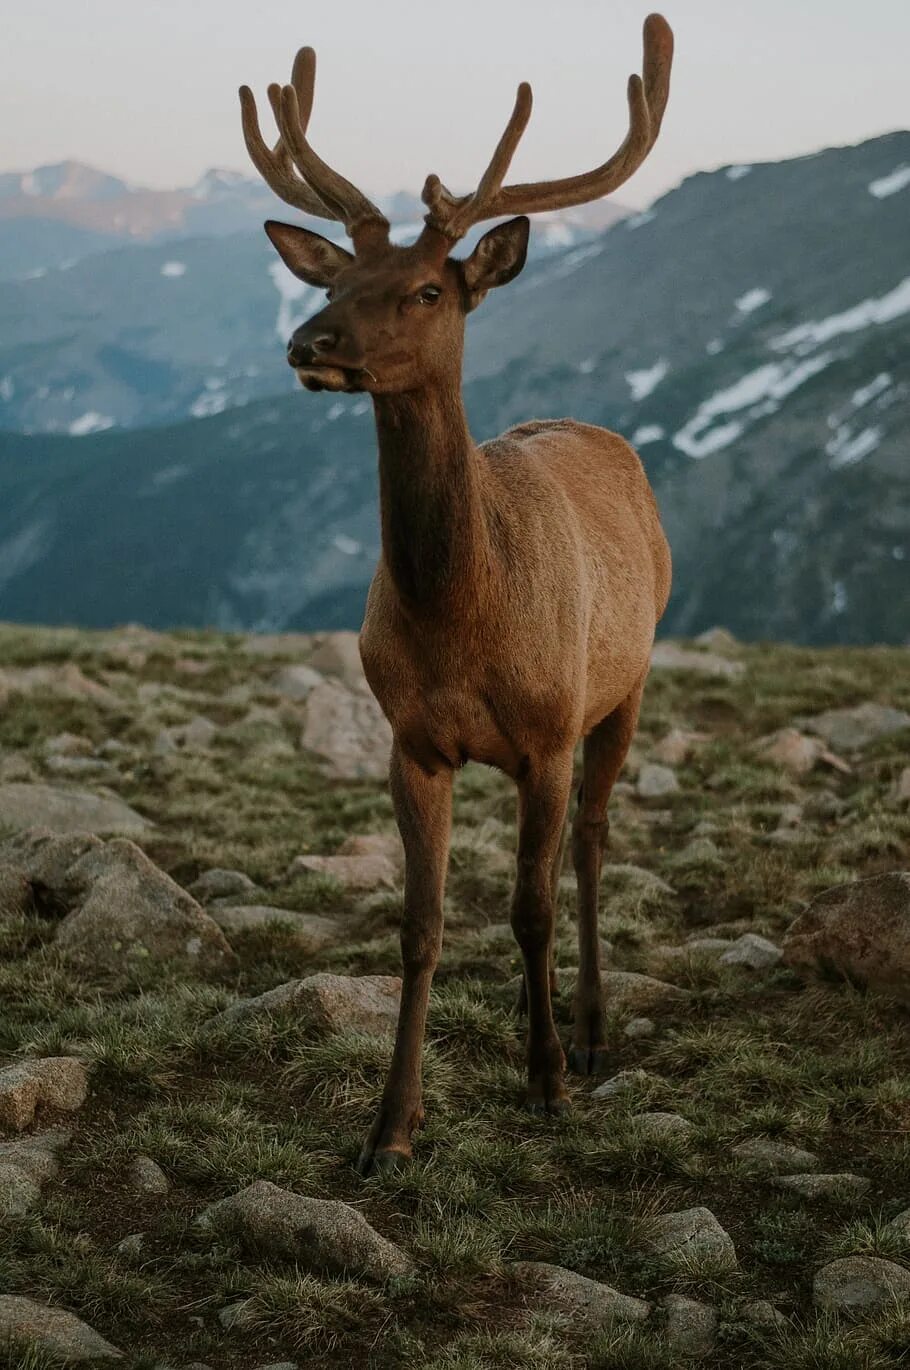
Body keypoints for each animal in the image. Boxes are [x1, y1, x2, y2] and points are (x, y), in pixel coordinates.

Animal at [238, 13, 671, 1178]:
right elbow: (421, 926)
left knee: (590, 844)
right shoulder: (412, 739)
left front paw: (549, 1078)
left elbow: (527, 907)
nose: (308, 344)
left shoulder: (549, 730)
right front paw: (390, 1127)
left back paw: (592, 1026)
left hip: (624, 685)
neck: (462, 620)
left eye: (428, 289)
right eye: (331, 283)